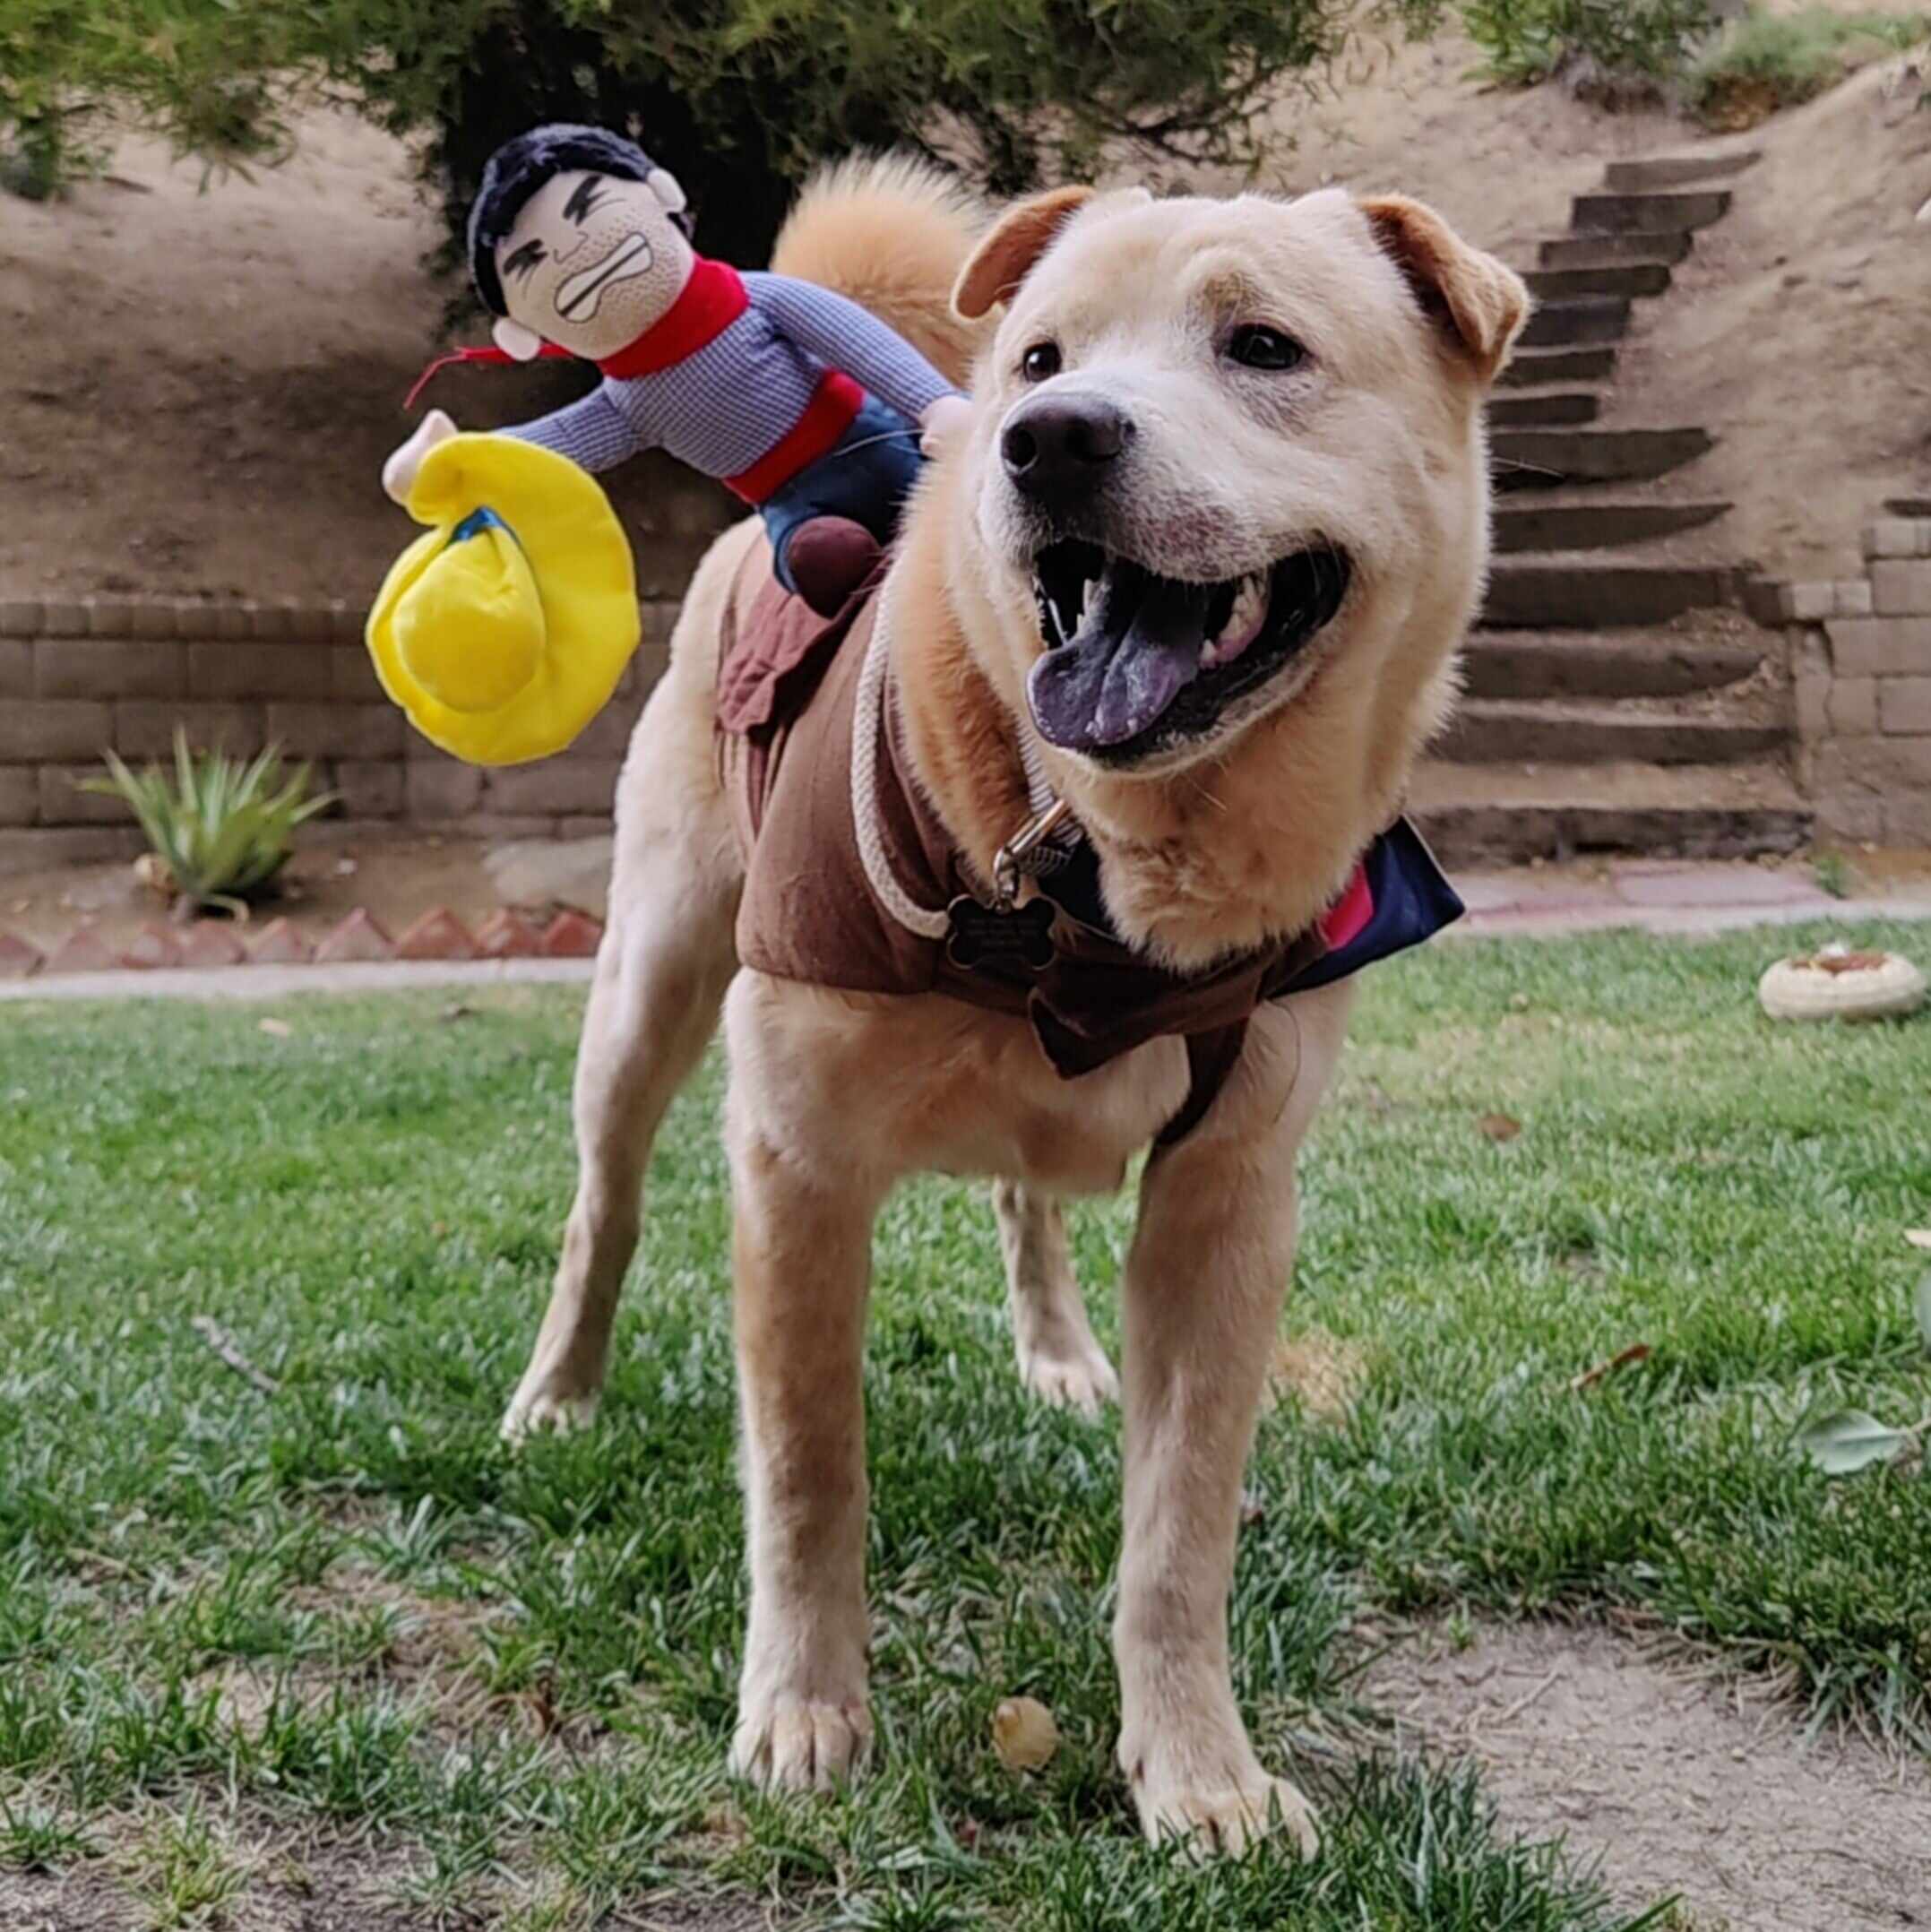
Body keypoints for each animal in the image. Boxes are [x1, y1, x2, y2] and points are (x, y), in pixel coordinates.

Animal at [502, 162, 1522, 1854]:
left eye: (1262, 344)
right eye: (1041, 357)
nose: (1048, 437)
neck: (1095, 877)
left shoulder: (1228, 1202)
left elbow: (1179, 1535)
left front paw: (1200, 1773)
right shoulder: (795, 1165)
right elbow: (808, 1474)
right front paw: (806, 1711)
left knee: (1022, 1199)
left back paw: (1053, 1352)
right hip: (648, 985)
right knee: (604, 1209)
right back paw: (557, 1396)